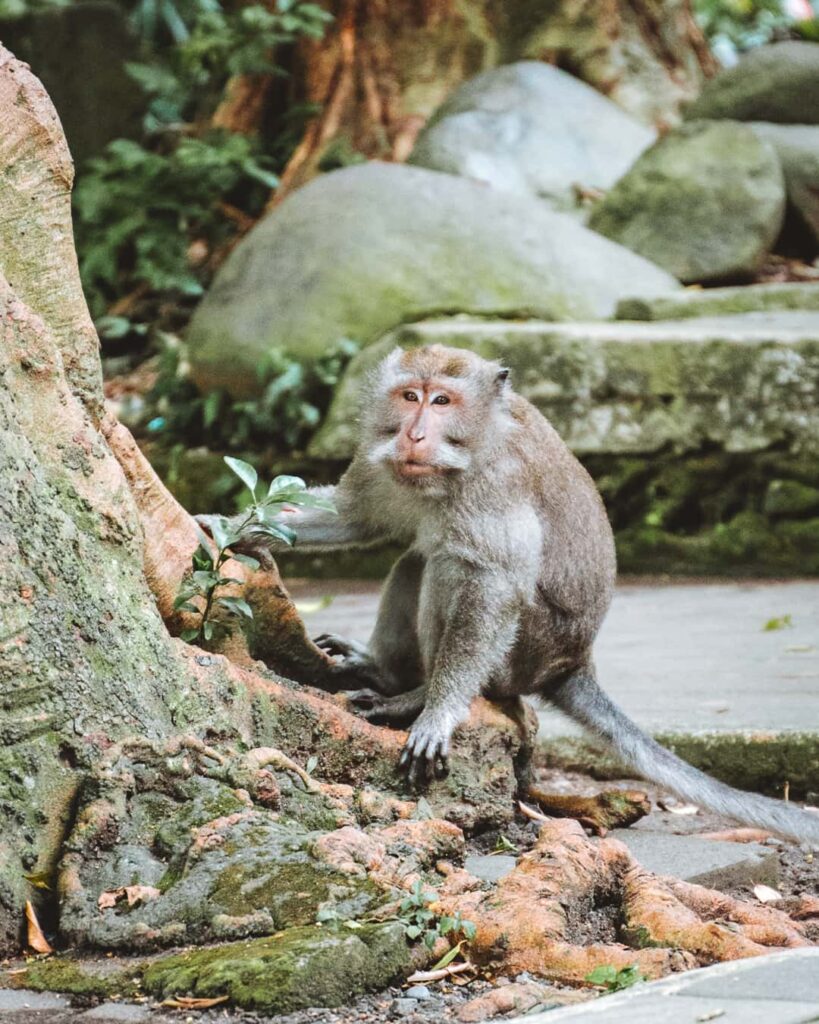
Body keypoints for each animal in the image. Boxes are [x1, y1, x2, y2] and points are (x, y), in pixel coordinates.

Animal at [202, 344, 819, 844]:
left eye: (443, 401)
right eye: (410, 396)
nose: (413, 434)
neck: (464, 452)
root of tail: (573, 662)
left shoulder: (495, 487)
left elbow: (494, 584)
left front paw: (438, 710)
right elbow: (355, 517)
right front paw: (229, 526)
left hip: (524, 653)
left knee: (453, 568)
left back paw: (414, 696)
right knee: (417, 559)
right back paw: (385, 672)